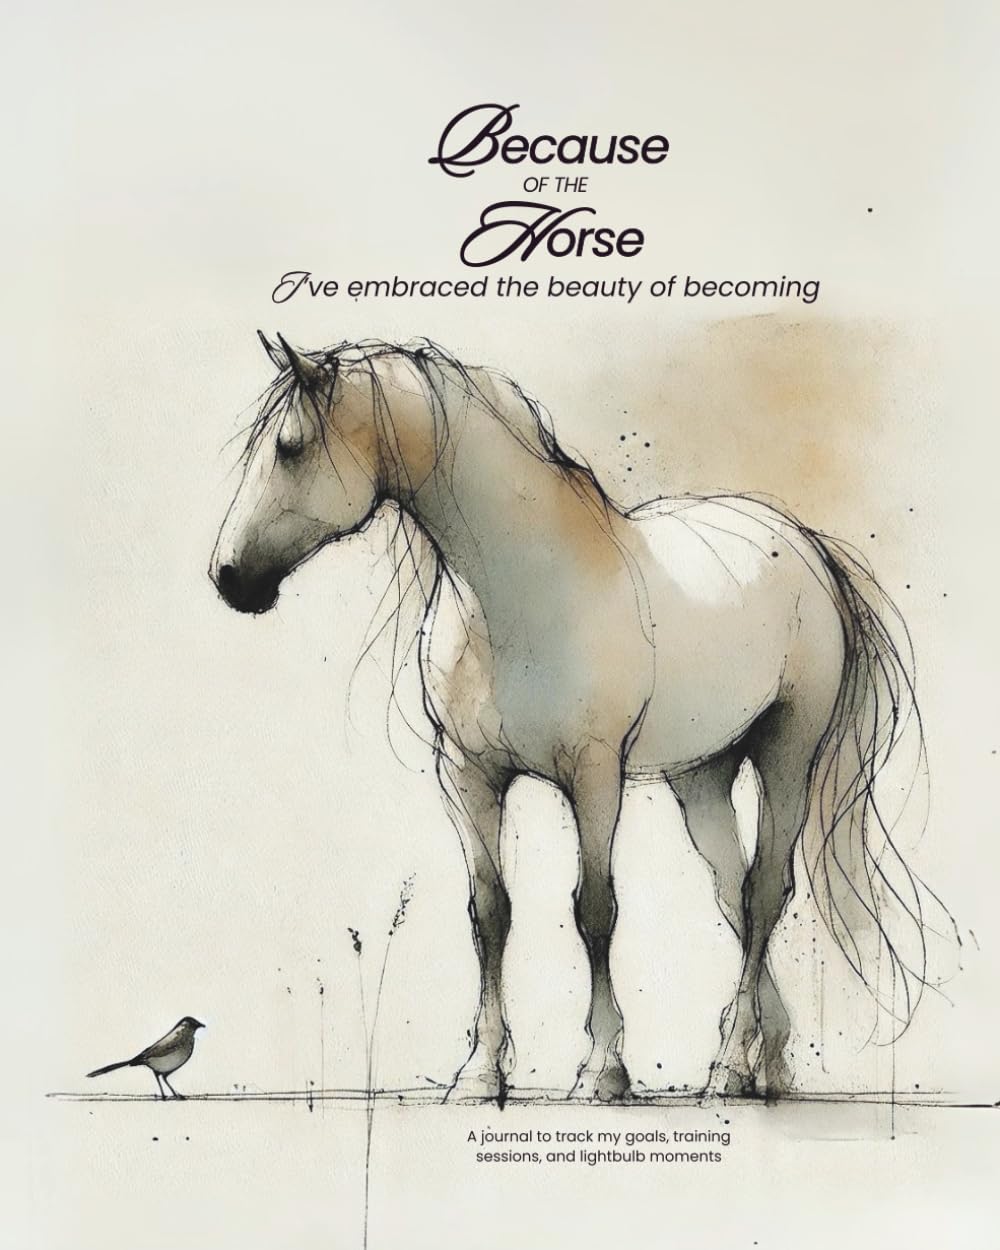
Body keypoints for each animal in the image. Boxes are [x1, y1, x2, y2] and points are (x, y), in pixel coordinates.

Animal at [210, 332, 943, 1104]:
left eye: (289, 448)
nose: (229, 577)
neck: (522, 593)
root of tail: (802, 541)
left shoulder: (593, 777)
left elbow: (594, 910)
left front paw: (603, 1070)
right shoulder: (467, 776)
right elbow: (490, 912)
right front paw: (480, 1074)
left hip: (786, 754)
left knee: (765, 890)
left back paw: (727, 1068)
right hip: (702, 775)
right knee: (733, 893)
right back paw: (763, 1065)